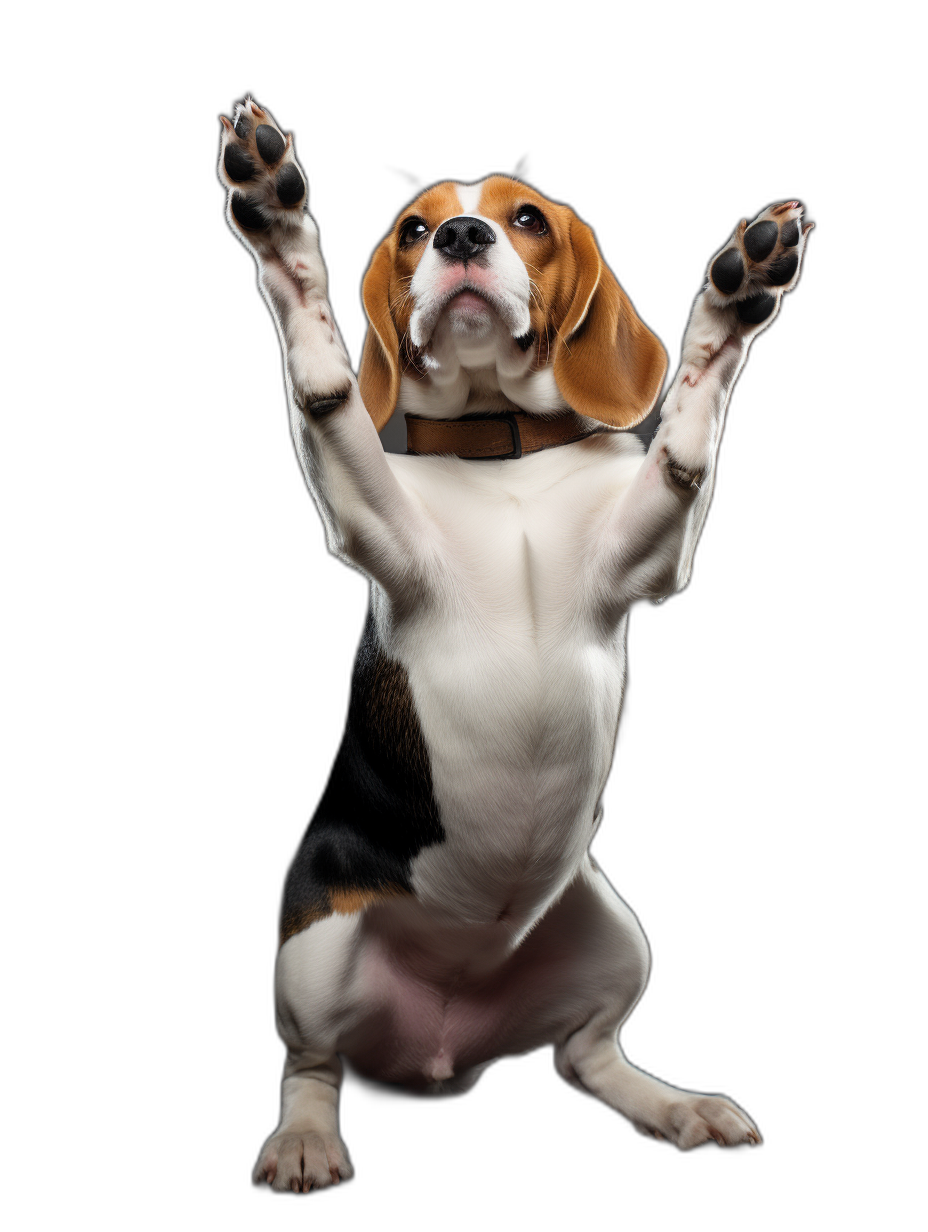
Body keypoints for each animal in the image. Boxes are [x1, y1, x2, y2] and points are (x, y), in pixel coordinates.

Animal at [219, 98, 808, 1192]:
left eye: (526, 216)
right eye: (413, 229)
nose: (459, 237)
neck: (502, 457)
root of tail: (442, 1045)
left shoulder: (643, 560)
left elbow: (683, 443)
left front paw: (734, 300)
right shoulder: (378, 536)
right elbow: (329, 395)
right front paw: (280, 231)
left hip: (617, 935)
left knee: (587, 1055)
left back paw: (674, 1104)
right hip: (313, 951)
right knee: (311, 1064)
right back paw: (307, 1138)